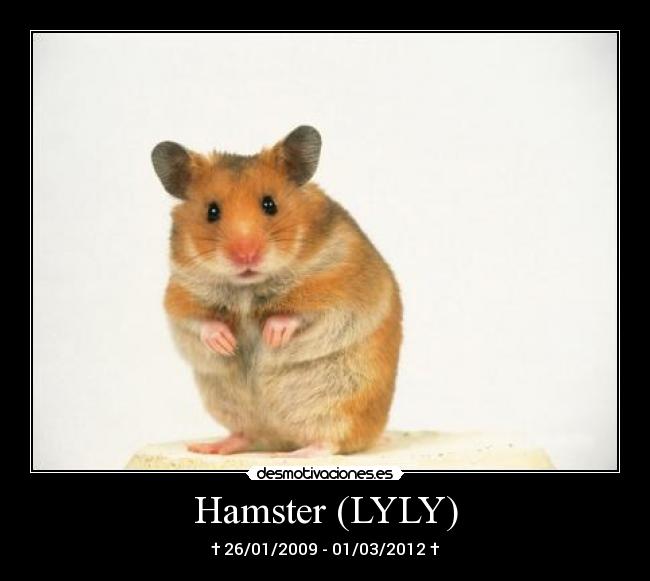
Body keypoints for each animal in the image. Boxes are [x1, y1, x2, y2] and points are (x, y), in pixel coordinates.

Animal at [151, 126, 402, 456]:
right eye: (212, 211)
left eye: (270, 204)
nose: (245, 256)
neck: (248, 287)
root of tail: (280, 436)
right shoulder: (179, 294)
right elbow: (198, 322)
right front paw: (226, 343)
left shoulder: (339, 287)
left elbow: (301, 315)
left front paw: (273, 335)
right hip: (230, 405)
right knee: (246, 434)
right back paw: (208, 448)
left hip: (341, 404)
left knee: (330, 442)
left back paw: (290, 456)